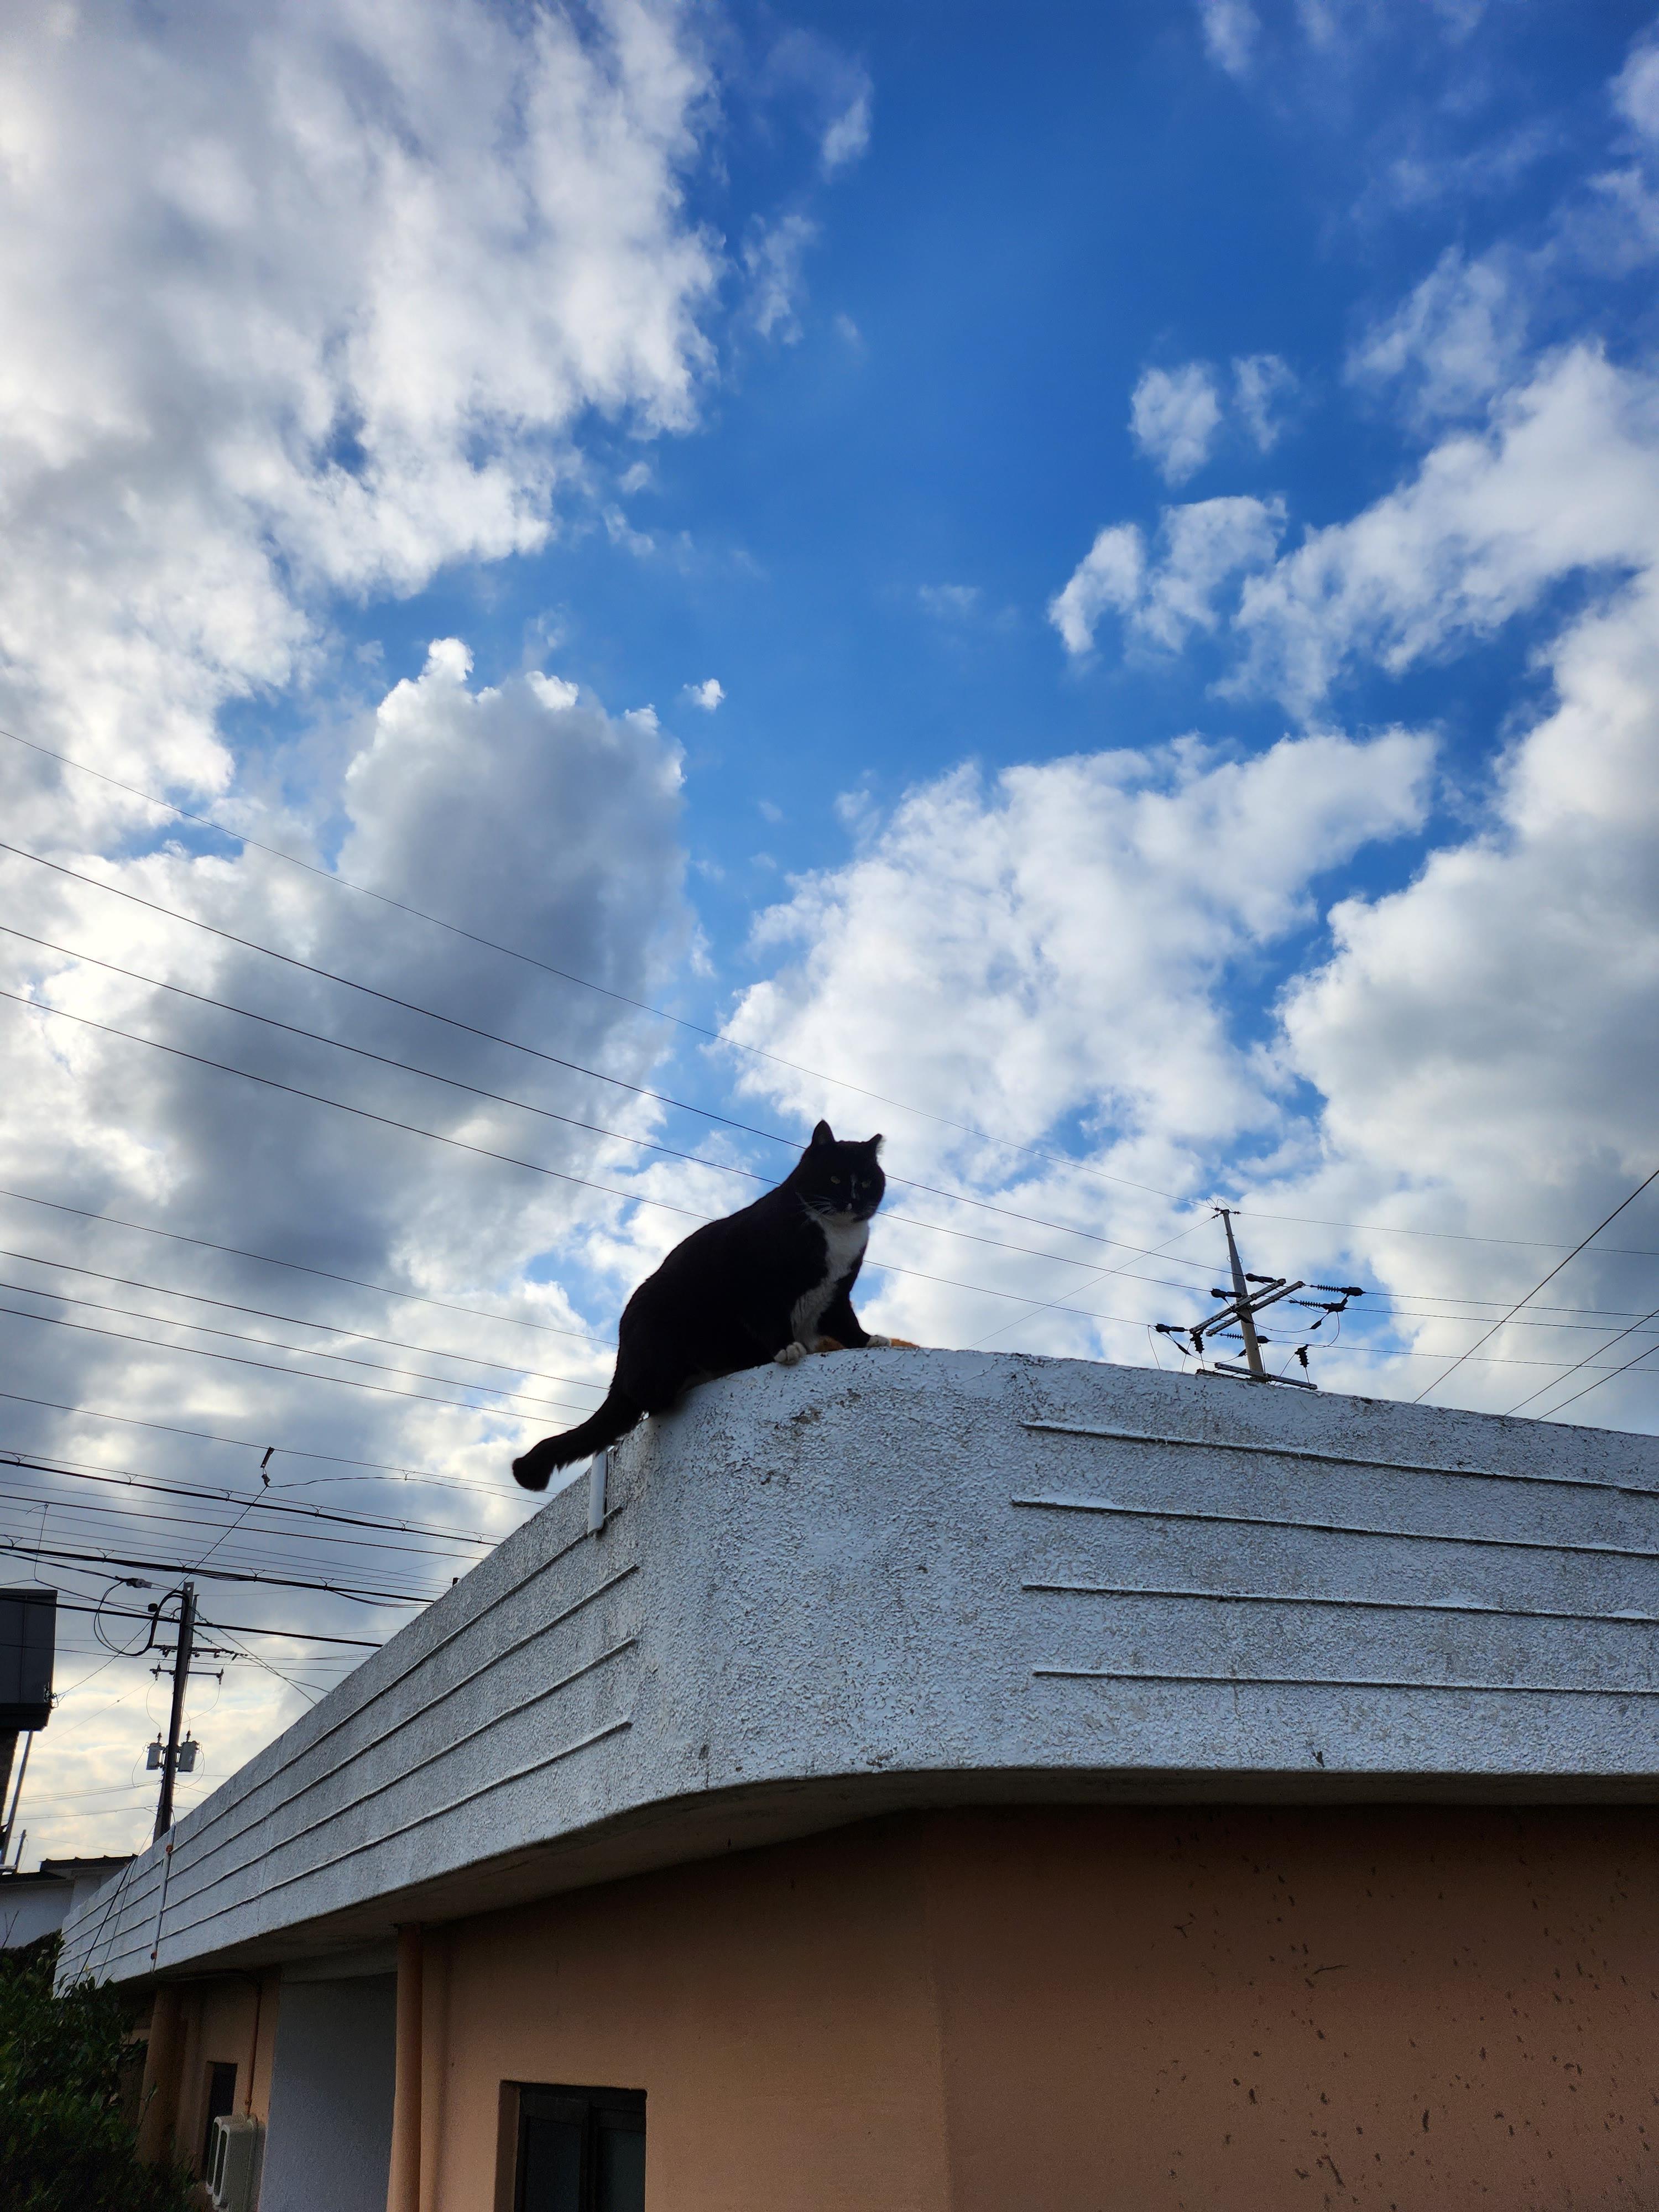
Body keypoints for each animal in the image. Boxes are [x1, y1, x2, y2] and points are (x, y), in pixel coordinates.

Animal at [511, 1121, 894, 1491]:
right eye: (835, 1178)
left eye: (867, 1181)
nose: (854, 1200)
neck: (835, 1235)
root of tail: (621, 1363)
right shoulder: (760, 1285)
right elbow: (770, 1317)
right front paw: (786, 1348)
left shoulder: (835, 1295)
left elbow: (846, 1323)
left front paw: (868, 1340)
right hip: (660, 1344)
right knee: (646, 1402)